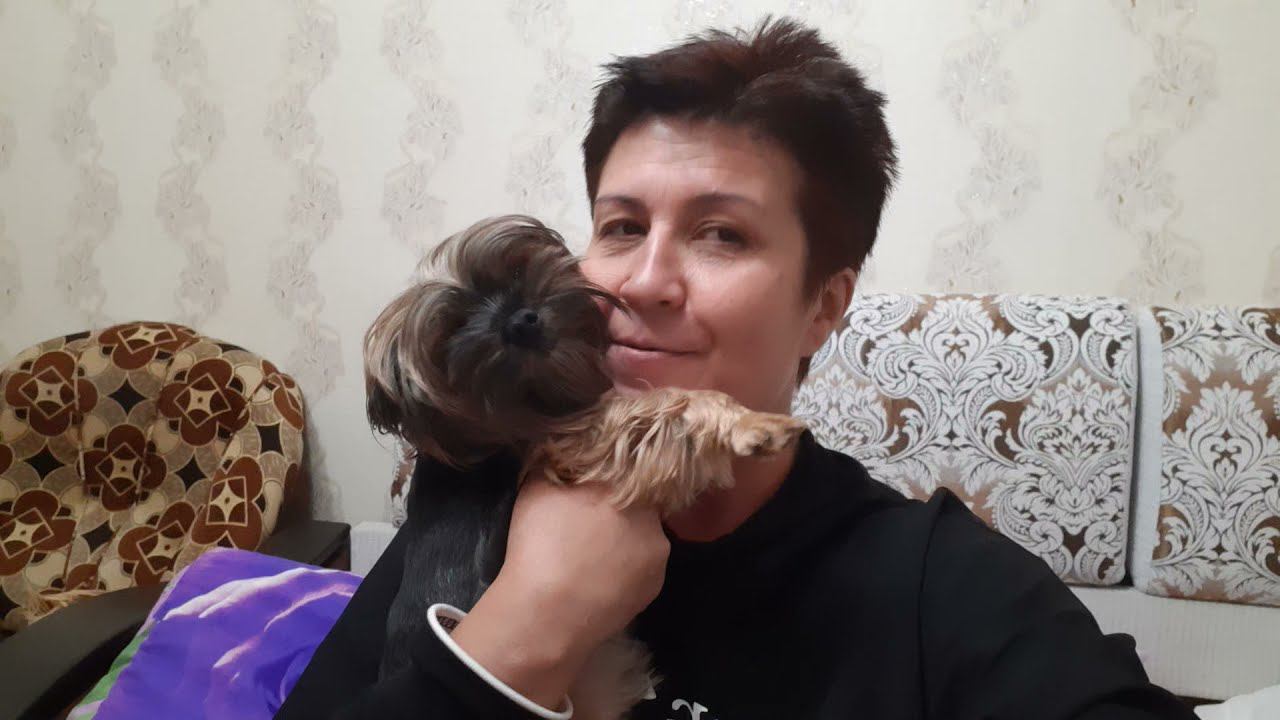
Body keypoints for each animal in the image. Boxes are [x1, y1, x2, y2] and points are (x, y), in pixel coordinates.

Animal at [364, 214, 806, 719]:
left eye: (516, 271)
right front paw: (751, 424)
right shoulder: (570, 443)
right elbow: (664, 404)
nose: (520, 322)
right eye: (453, 329)